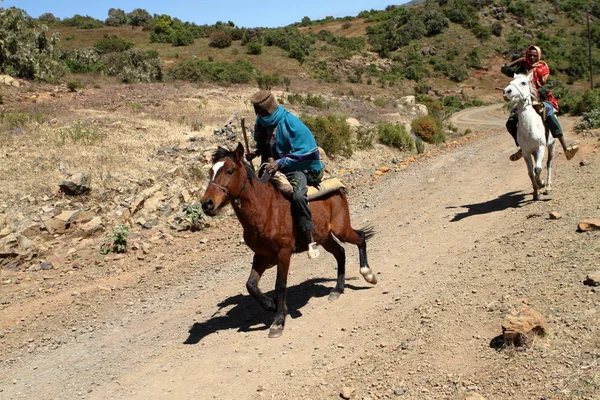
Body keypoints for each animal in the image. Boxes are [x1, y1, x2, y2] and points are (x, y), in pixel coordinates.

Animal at [199, 144, 376, 338]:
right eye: (210, 171)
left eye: (230, 170)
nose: (206, 203)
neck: (265, 209)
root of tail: (339, 187)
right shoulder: (261, 255)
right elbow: (251, 285)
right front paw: (273, 305)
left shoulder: (284, 253)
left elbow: (280, 285)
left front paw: (278, 321)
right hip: (325, 237)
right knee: (341, 252)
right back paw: (337, 289)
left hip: (341, 229)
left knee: (360, 238)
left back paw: (368, 274)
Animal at [504, 72, 556, 200]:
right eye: (510, 82)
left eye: (523, 82)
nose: (506, 91)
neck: (529, 127)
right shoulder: (526, 152)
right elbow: (531, 172)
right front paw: (536, 192)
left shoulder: (540, 148)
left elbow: (538, 168)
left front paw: (541, 184)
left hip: (552, 145)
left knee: (549, 164)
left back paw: (548, 187)